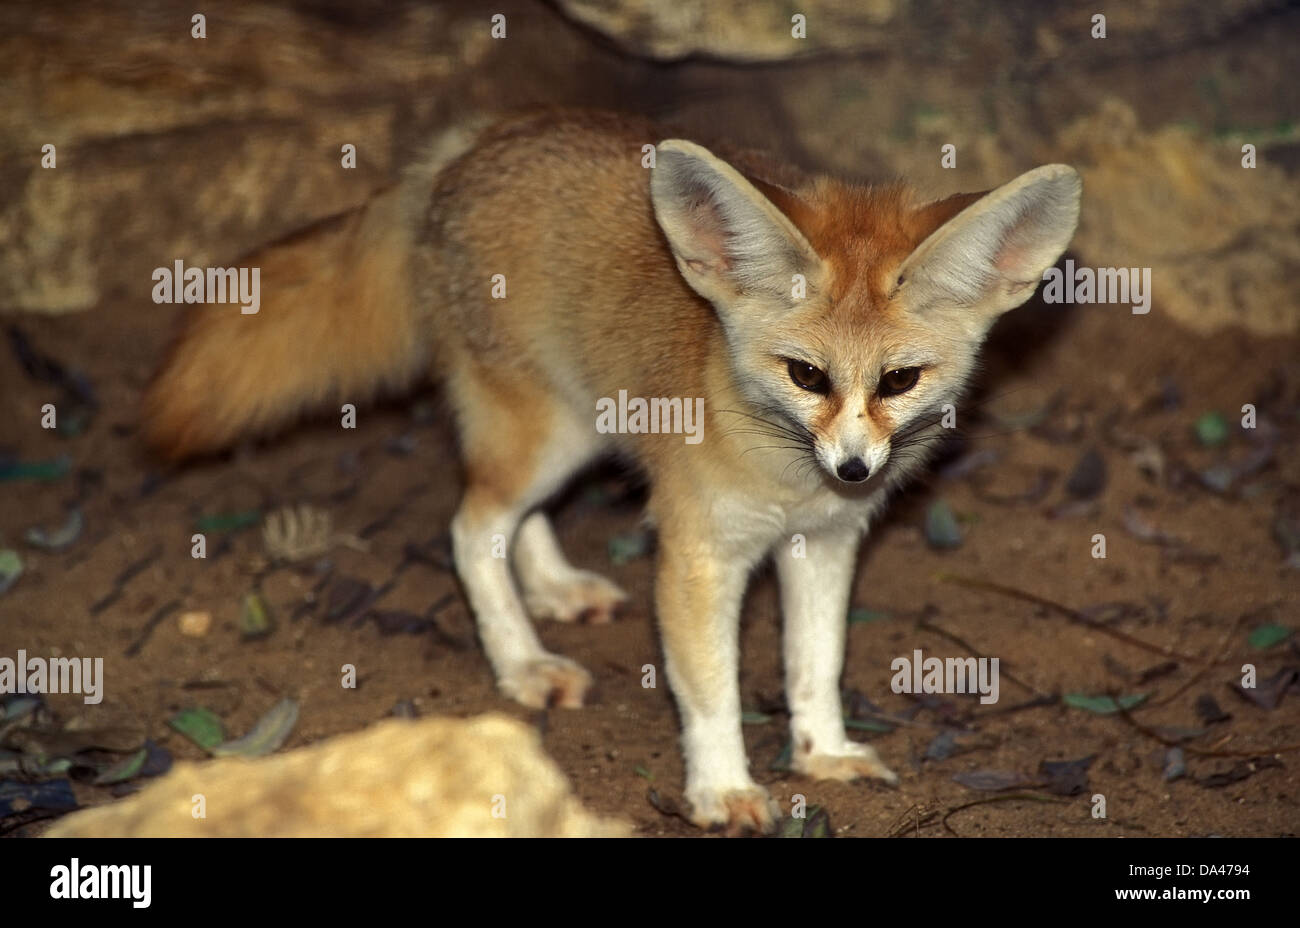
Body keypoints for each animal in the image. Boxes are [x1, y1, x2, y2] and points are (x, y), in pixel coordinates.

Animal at [144, 109, 1081, 834]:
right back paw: (522, 661)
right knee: (470, 526)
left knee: (514, 522)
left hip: (582, 427)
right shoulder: (699, 556)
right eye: (807, 376)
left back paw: (554, 588)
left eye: (898, 382)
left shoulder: (826, 543)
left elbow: (814, 665)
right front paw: (722, 789)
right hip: (544, 435)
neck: (785, 475)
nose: (854, 468)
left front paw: (823, 752)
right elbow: (709, 690)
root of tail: (473, 140)